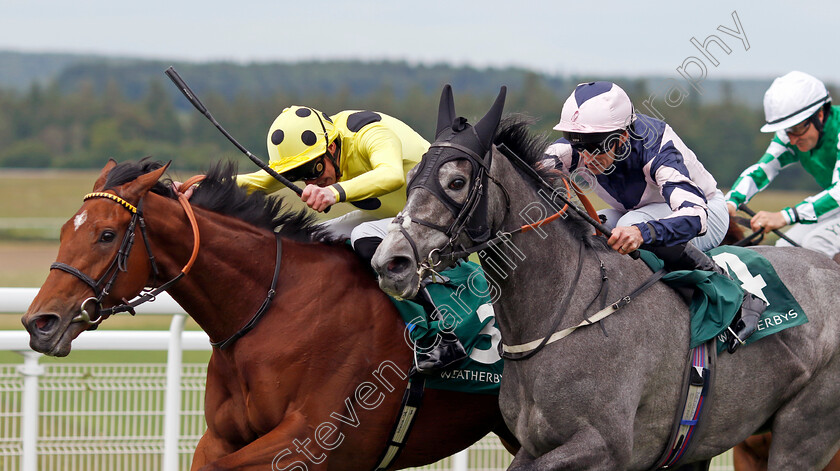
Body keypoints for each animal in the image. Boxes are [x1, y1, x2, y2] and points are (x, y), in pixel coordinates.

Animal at [23, 159, 516, 471]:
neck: (274, 308)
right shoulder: (221, 437)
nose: (39, 323)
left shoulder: (311, 440)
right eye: (65, 229)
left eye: (106, 234)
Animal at [374, 85, 840, 471]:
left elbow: (687, 209)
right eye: (410, 176)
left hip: (804, 431)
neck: (564, 311)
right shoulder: (535, 444)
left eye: (456, 181)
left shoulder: (606, 446)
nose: (389, 262)